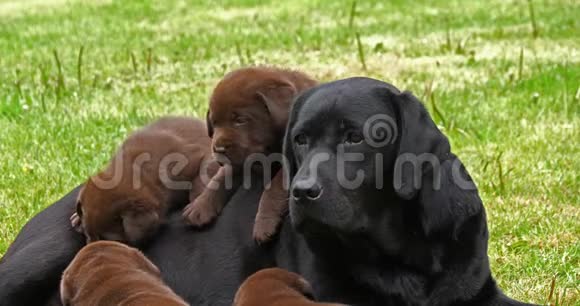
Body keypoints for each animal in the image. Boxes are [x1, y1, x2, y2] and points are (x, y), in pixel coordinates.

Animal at [71, 116, 216, 245]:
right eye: (87, 235)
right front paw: (77, 218)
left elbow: (201, 176)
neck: (139, 170)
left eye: (106, 240)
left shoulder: (199, 154)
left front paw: (198, 205)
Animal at [184, 66, 318, 241]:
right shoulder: (237, 162)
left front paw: (264, 223)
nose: (218, 149)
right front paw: (200, 206)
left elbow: (274, 188)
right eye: (214, 123)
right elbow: (220, 178)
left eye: (240, 120)